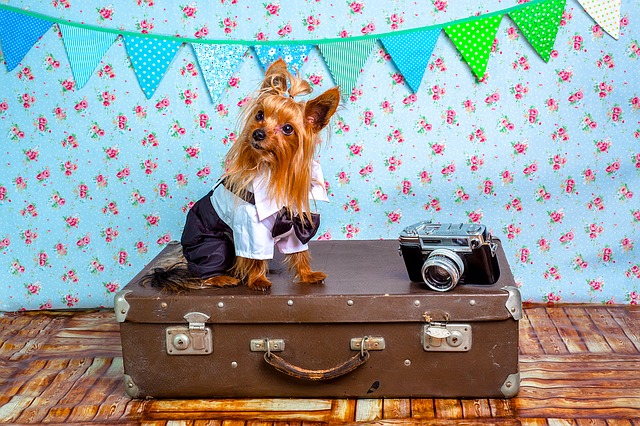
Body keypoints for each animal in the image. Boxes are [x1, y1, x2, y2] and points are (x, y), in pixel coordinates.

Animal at [148, 59, 342, 292]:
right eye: (260, 115)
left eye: (288, 129)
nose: (258, 133)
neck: (274, 169)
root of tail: (185, 257)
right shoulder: (250, 229)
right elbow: (255, 256)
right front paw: (258, 279)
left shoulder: (295, 224)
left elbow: (299, 252)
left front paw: (307, 274)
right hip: (213, 244)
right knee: (204, 271)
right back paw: (221, 278)